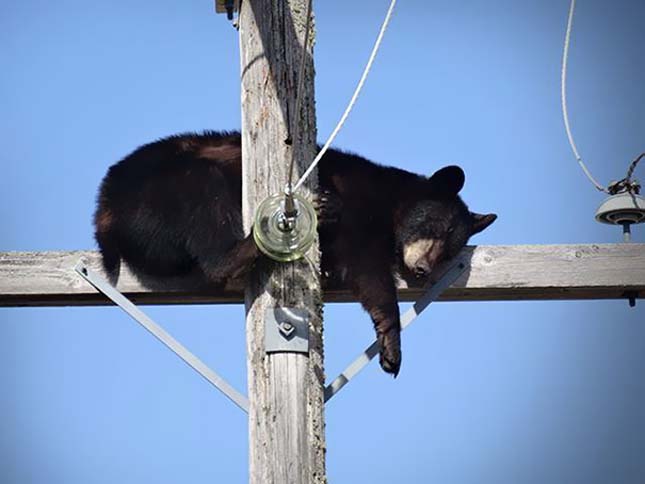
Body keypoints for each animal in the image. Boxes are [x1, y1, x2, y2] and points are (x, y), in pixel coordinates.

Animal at [95, 130, 496, 376]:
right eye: (437, 228)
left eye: (451, 249)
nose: (425, 268)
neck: (387, 205)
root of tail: (104, 211)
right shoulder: (360, 210)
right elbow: (370, 274)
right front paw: (391, 343)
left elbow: (359, 272)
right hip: (161, 193)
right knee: (204, 195)